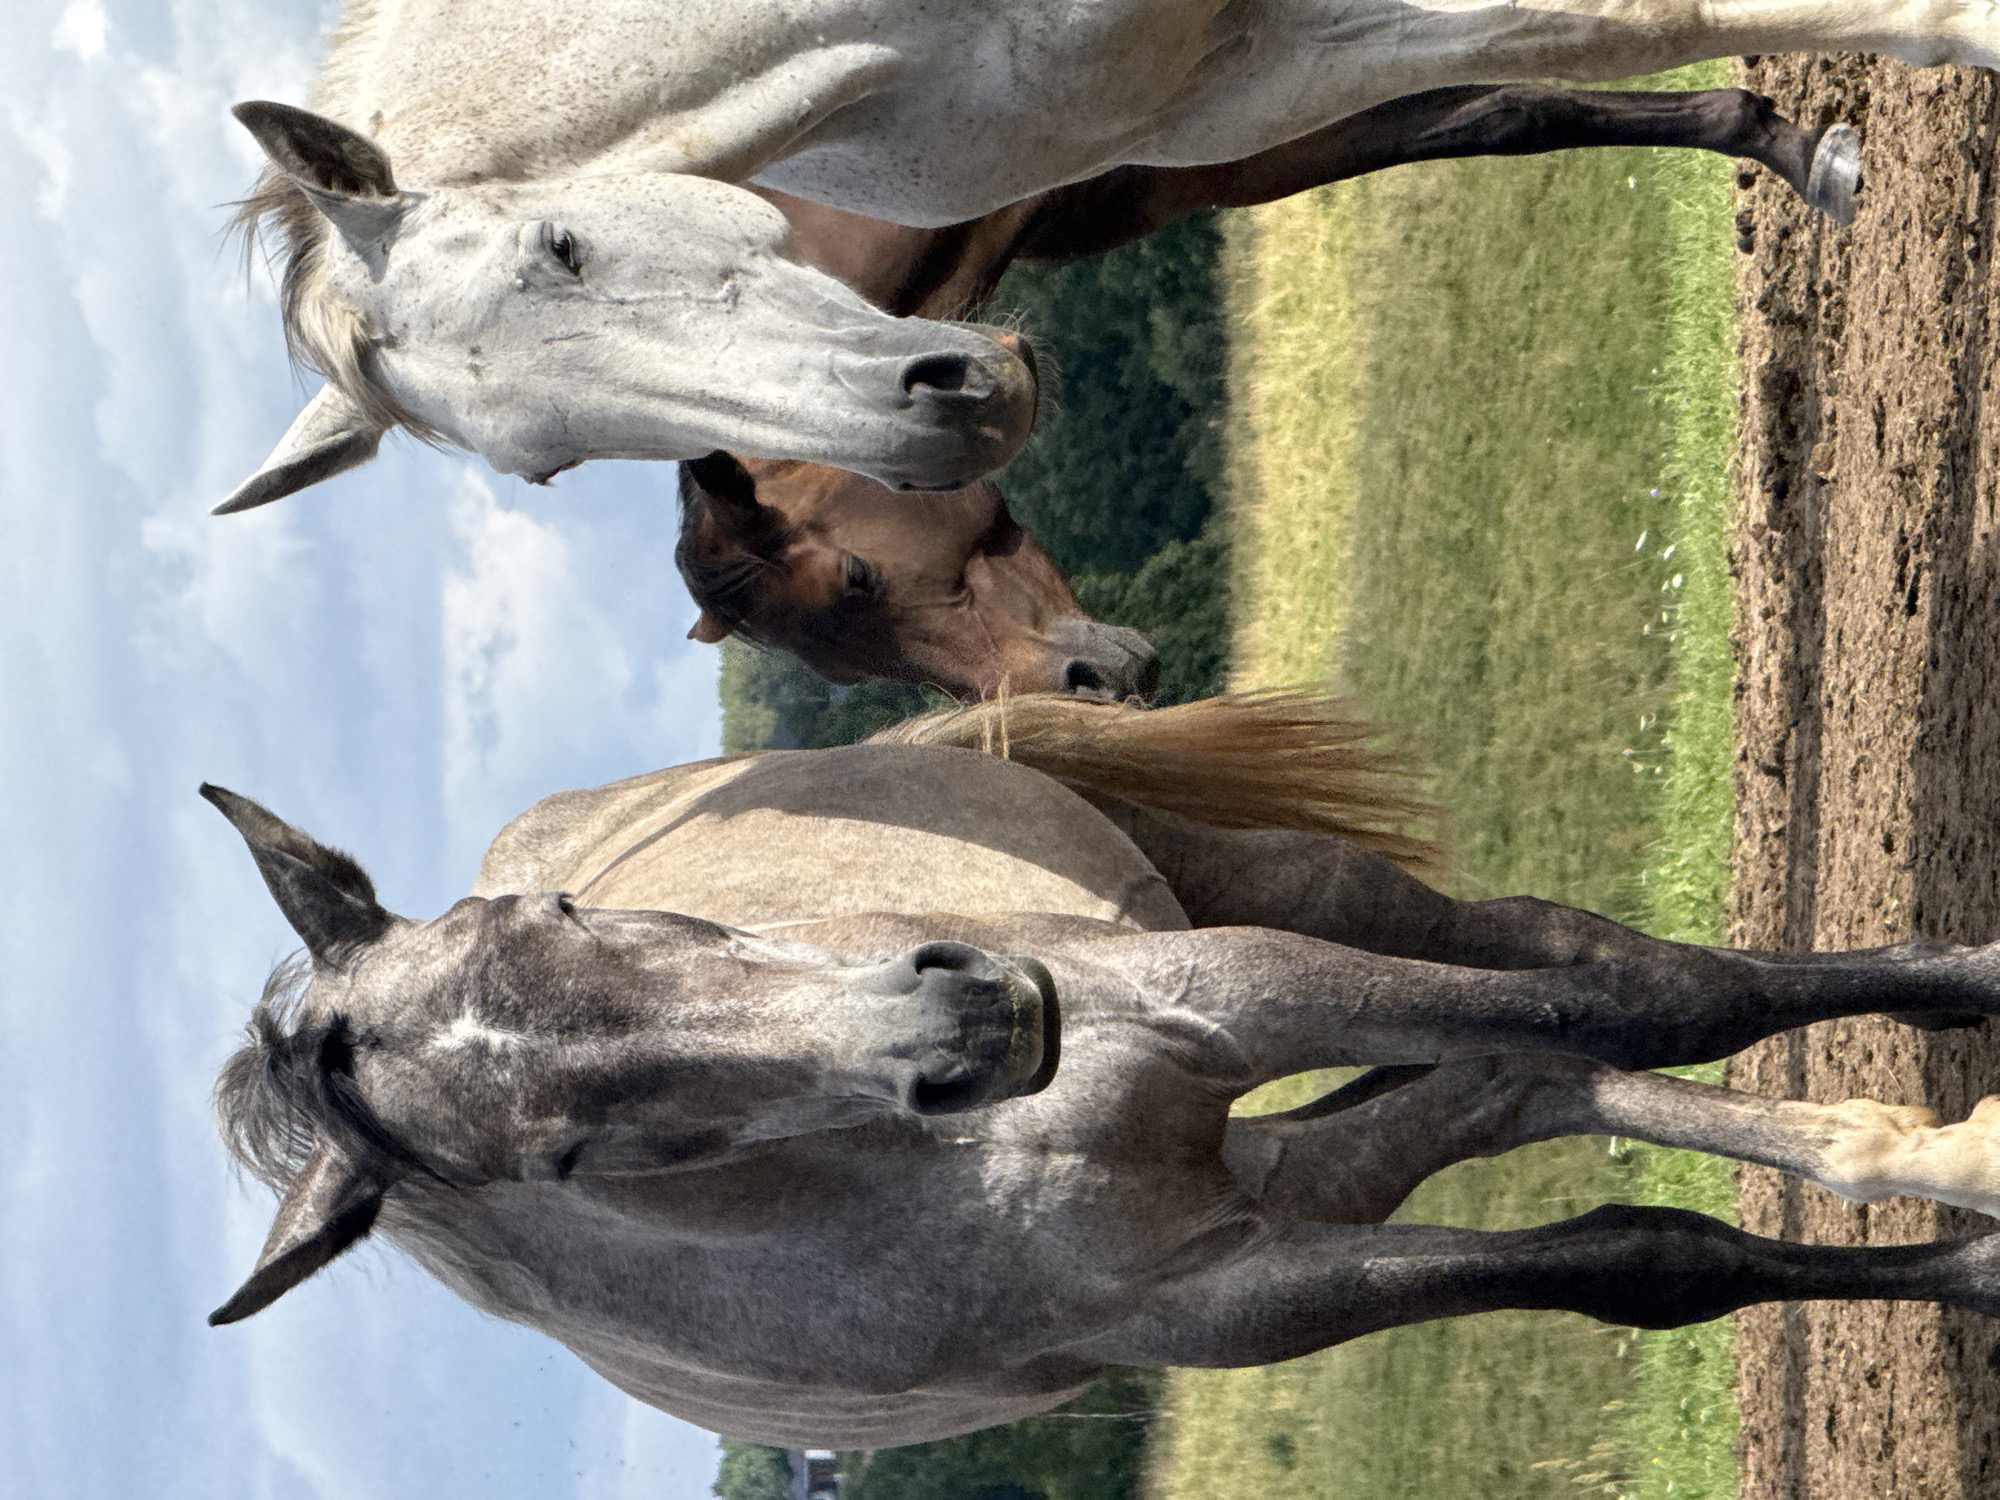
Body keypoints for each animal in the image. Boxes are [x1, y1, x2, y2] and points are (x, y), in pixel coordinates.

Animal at [207, 692, 2000, 1449]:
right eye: (560, 1158)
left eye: (557, 914)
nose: (971, 1021)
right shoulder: (1238, 1296)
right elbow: (1646, 1259)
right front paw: (1974, 1251)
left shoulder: (1233, 993)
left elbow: (1664, 1003)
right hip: (1296, 1164)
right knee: (1521, 1085)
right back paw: (1929, 1169)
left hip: (1265, 885)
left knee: (1561, 969)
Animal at [217, 0, 1989, 505]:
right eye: (543, 468)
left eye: (565, 244)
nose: (957, 407)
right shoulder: (1237, 88)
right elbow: (1554, 68)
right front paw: (1807, 142)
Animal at [674, 82, 1857, 700]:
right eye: (840, 664)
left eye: (858, 576)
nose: (1089, 687)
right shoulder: (1188, 163)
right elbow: (1492, 115)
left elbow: (1519, 102)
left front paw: (1799, 147)